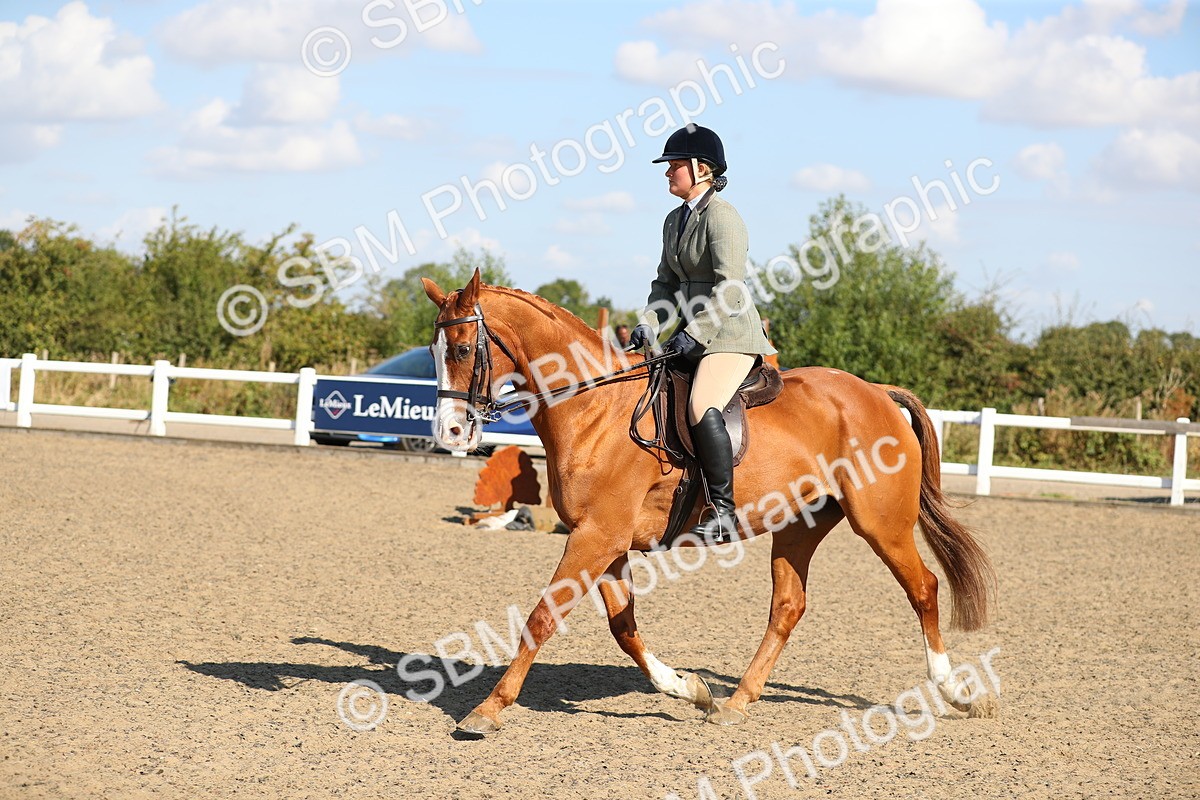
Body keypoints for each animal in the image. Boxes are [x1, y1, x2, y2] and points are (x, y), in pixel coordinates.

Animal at [421, 270, 996, 735]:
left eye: (462, 350)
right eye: (433, 353)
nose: (450, 433)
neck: (593, 407)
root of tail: (876, 392)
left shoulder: (596, 536)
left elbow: (541, 618)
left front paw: (488, 710)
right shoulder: (604, 539)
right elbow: (623, 627)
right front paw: (689, 688)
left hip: (881, 524)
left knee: (923, 588)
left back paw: (953, 692)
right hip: (800, 524)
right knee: (788, 607)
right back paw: (736, 701)